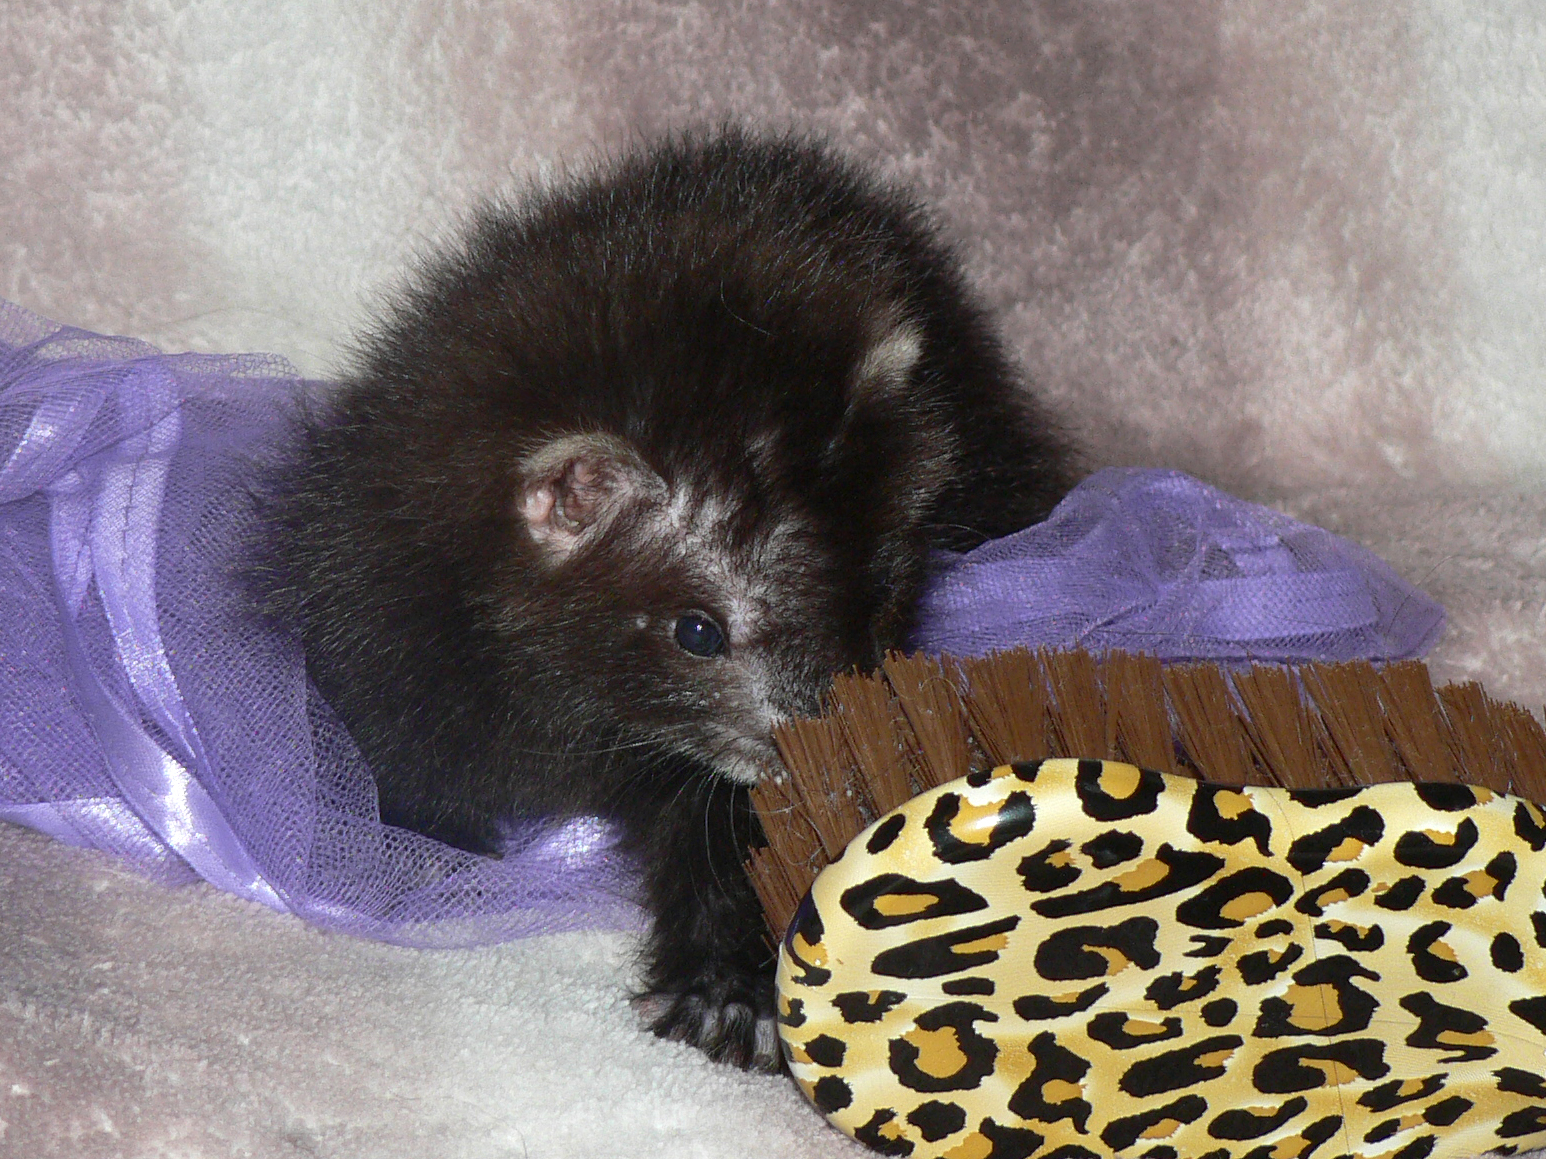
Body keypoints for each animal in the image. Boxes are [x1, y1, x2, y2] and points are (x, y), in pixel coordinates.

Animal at [262, 127, 1076, 1069]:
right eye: (698, 629)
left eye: (876, 596)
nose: (820, 742)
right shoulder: (377, 601)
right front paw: (406, 852)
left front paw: (727, 995)